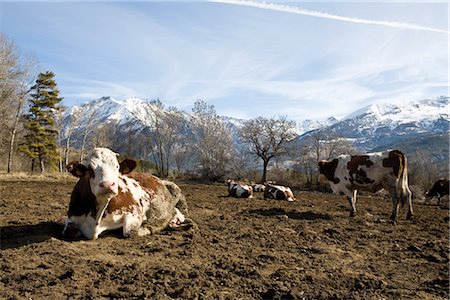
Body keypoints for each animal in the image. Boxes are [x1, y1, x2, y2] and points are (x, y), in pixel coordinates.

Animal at [62, 146, 192, 240]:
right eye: (90, 169)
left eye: (117, 167)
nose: (108, 184)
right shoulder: (71, 217)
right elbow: (70, 231)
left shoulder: (135, 211)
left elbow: (130, 232)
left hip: (176, 190)